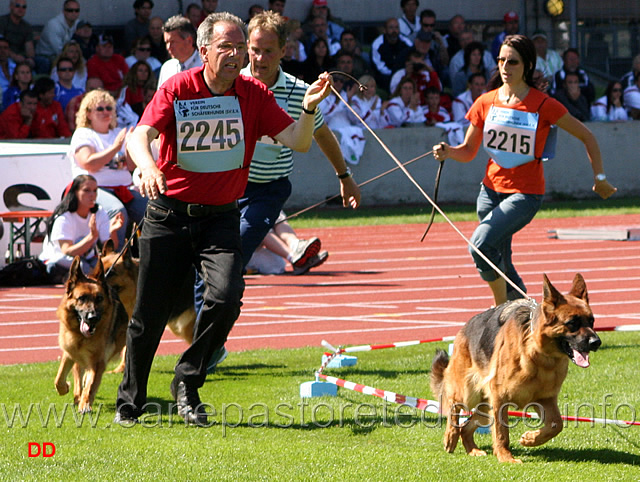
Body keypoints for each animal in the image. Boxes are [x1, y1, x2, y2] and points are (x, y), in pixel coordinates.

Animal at [53, 258, 129, 412]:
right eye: (81, 298)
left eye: (99, 298)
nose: (92, 317)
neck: (80, 336)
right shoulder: (69, 353)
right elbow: (58, 379)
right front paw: (66, 388)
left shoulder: (97, 362)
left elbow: (91, 384)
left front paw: (85, 404)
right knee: (79, 377)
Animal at [432, 274, 604, 462]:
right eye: (572, 323)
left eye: (592, 321)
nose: (596, 342)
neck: (540, 356)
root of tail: (465, 327)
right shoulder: (500, 398)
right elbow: (501, 432)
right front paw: (505, 457)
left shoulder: (545, 399)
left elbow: (556, 424)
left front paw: (531, 439)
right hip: (468, 393)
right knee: (453, 407)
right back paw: (450, 436)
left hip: (485, 405)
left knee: (466, 426)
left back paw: (473, 450)